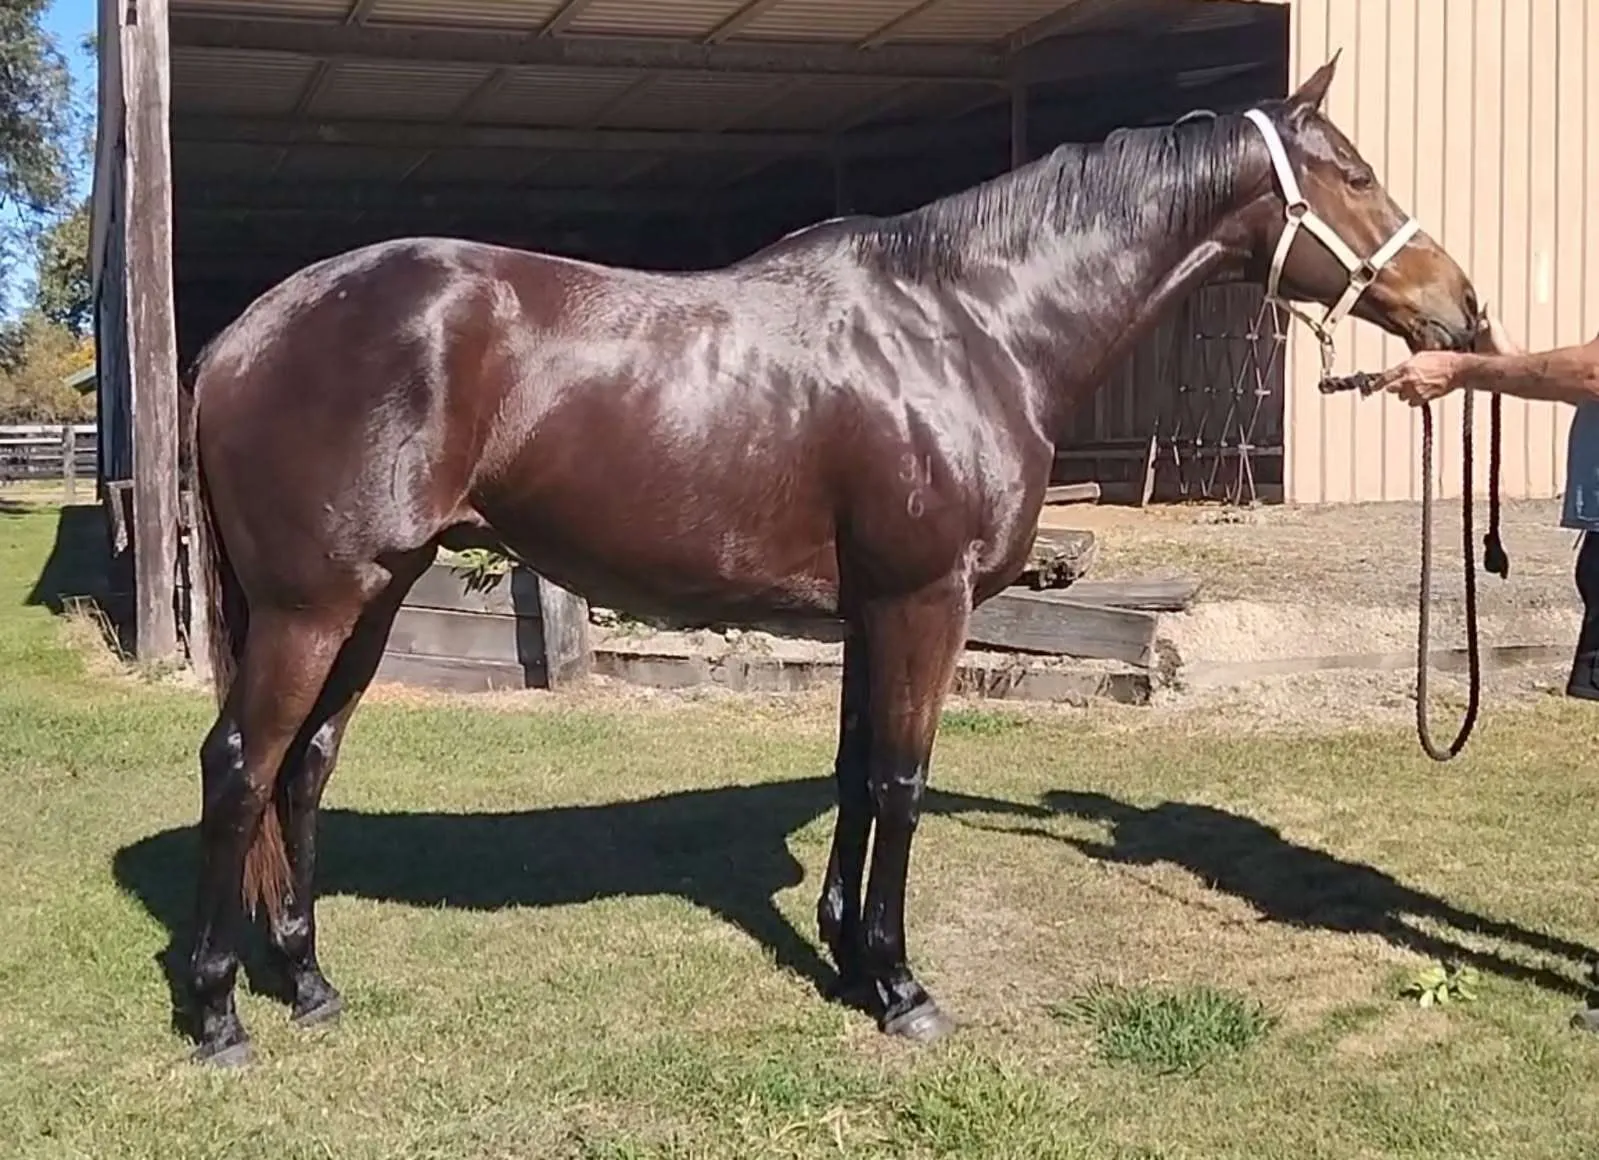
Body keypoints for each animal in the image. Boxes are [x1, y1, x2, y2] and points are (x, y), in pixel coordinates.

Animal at [180, 56, 1479, 1067]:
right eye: (1355, 174)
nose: (1462, 310)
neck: (970, 321)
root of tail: (240, 335)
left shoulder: (869, 612)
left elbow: (857, 772)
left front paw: (848, 949)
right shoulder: (923, 601)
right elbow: (901, 781)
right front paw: (901, 986)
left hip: (373, 596)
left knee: (305, 765)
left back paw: (307, 981)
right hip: (313, 604)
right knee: (242, 765)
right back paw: (217, 1012)